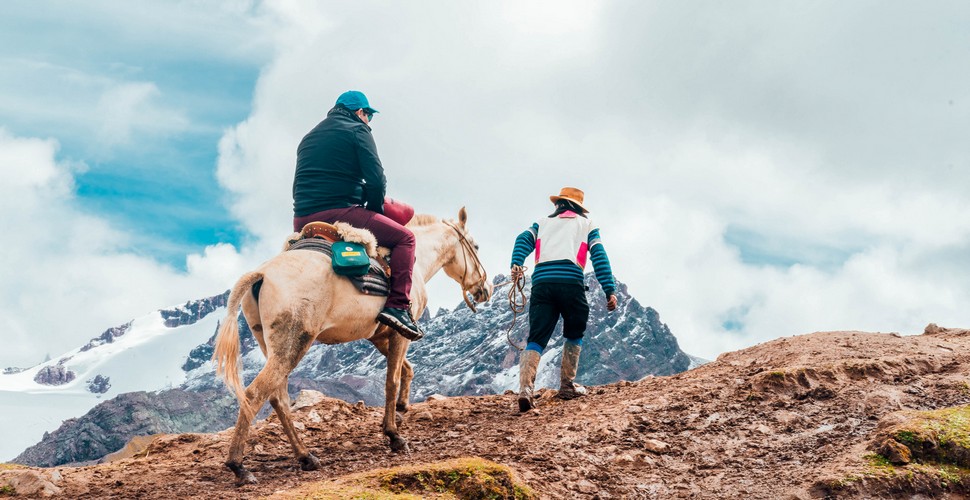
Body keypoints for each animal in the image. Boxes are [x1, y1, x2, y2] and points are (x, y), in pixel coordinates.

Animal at [208, 208, 488, 484]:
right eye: (475, 245)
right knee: (255, 394)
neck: (418, 263)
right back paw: (239, 466)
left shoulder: (380, 335)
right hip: (292, 345)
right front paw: (394, 435)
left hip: (271, 347)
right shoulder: (401, 332)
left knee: (278, 397)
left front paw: (401, 408)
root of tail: (263, 274)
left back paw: (306, 456)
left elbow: (406, 369)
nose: (485, 289)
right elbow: (392, 379)